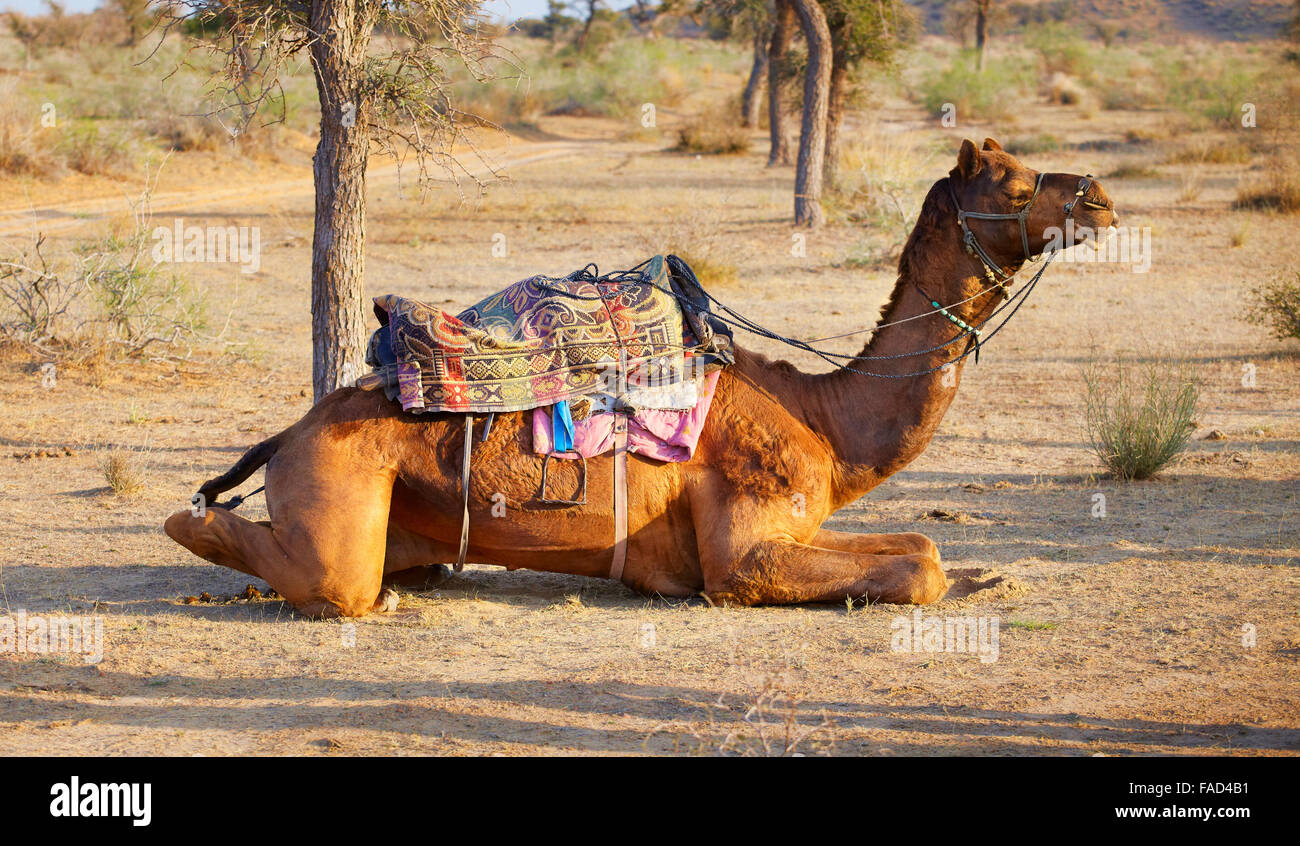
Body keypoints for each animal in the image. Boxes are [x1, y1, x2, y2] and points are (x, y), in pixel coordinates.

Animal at [162, 137, 1118, 615]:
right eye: (1018, 183)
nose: (1100, 197)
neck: (826, 417)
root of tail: (290, 434)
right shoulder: (744, 555)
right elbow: (917, 569)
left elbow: (923, 546)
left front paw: (986, 574)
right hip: (338, 507)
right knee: (301, 567)